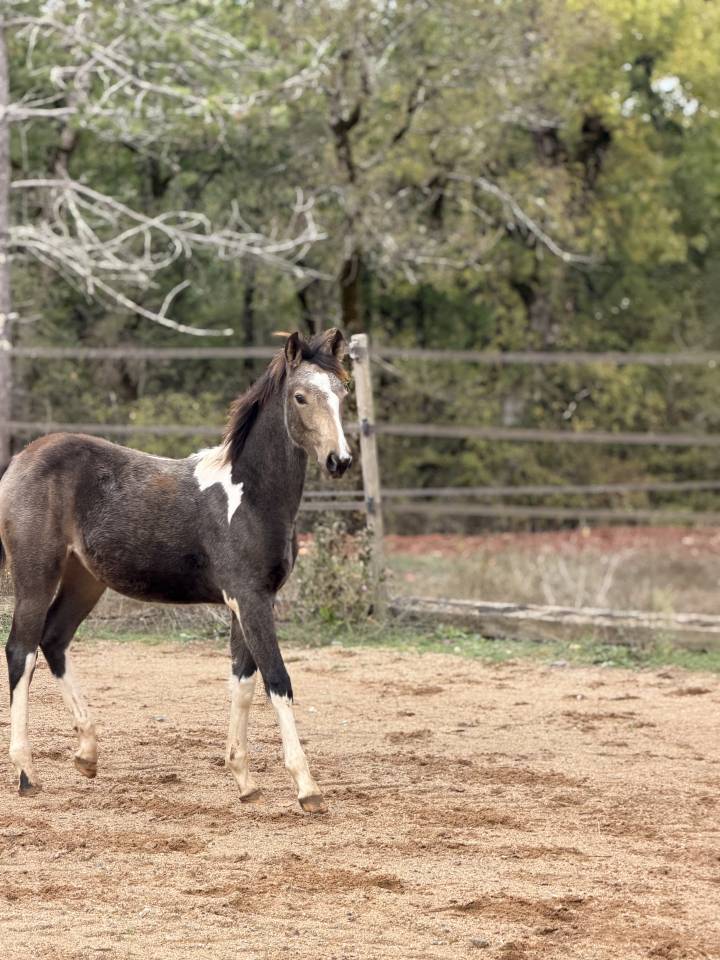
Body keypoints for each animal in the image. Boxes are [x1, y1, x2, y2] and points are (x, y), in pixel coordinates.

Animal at [0, 328, 352, 813]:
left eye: (343, 392)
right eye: (300, 396)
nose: (340, 461)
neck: (250, 497)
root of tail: (21, 458)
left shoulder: (248, 599)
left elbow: (243, 680)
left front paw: (244, 780)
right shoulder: (250, 598)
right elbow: (277, 680)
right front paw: (307, 788)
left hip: (84, 581)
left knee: (54, 640)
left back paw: (87, 755)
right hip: (36, 574)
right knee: (22, 650)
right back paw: (26, 773)